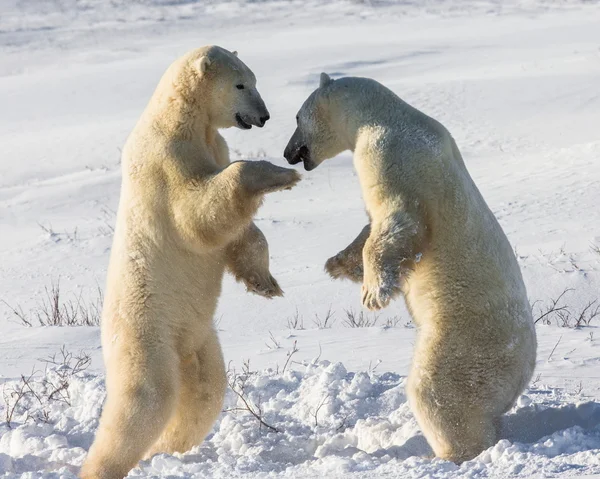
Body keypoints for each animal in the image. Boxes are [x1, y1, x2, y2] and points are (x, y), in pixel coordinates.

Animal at [81, 46, 300, 479]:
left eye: (254, 80)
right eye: (241, 84)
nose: (264, 116)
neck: (181, 119)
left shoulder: (213, 145)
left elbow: (235, 232)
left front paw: (264, 282)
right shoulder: (167, 159)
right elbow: (198, 212)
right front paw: (282, 174)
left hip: (197, 337)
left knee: (205, 391)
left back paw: (166, 447)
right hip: (147, 333)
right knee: (145, 398)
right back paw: (103, 466)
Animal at [284, 73, 536, 464]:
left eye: (297, 118)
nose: (288, 152)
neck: (382, 114)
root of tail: (523, 370)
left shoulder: (389, 153)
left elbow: (398, 218)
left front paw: (373, 293)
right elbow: (371, 226)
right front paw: (337, 263)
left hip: (465, 342)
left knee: (437, 392)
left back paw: (450, 454)